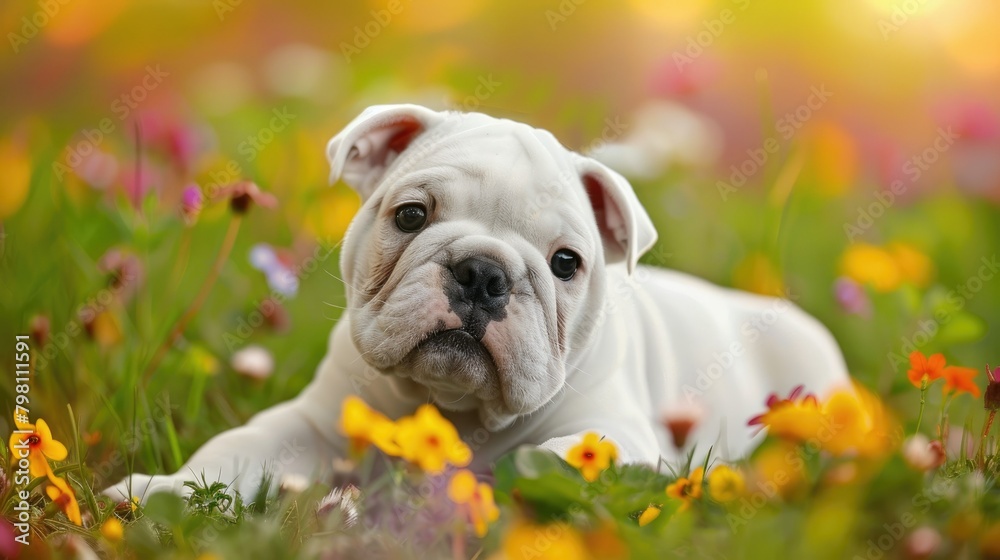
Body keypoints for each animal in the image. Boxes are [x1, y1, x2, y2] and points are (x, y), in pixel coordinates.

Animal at [107, 104, 844, 498]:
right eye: (410, 215)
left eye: (566, 263)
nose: (483, 274)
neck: (452, 407)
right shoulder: (310, 425)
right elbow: (233, 452)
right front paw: (158, 493)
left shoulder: (617, 432)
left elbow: (550, 457)